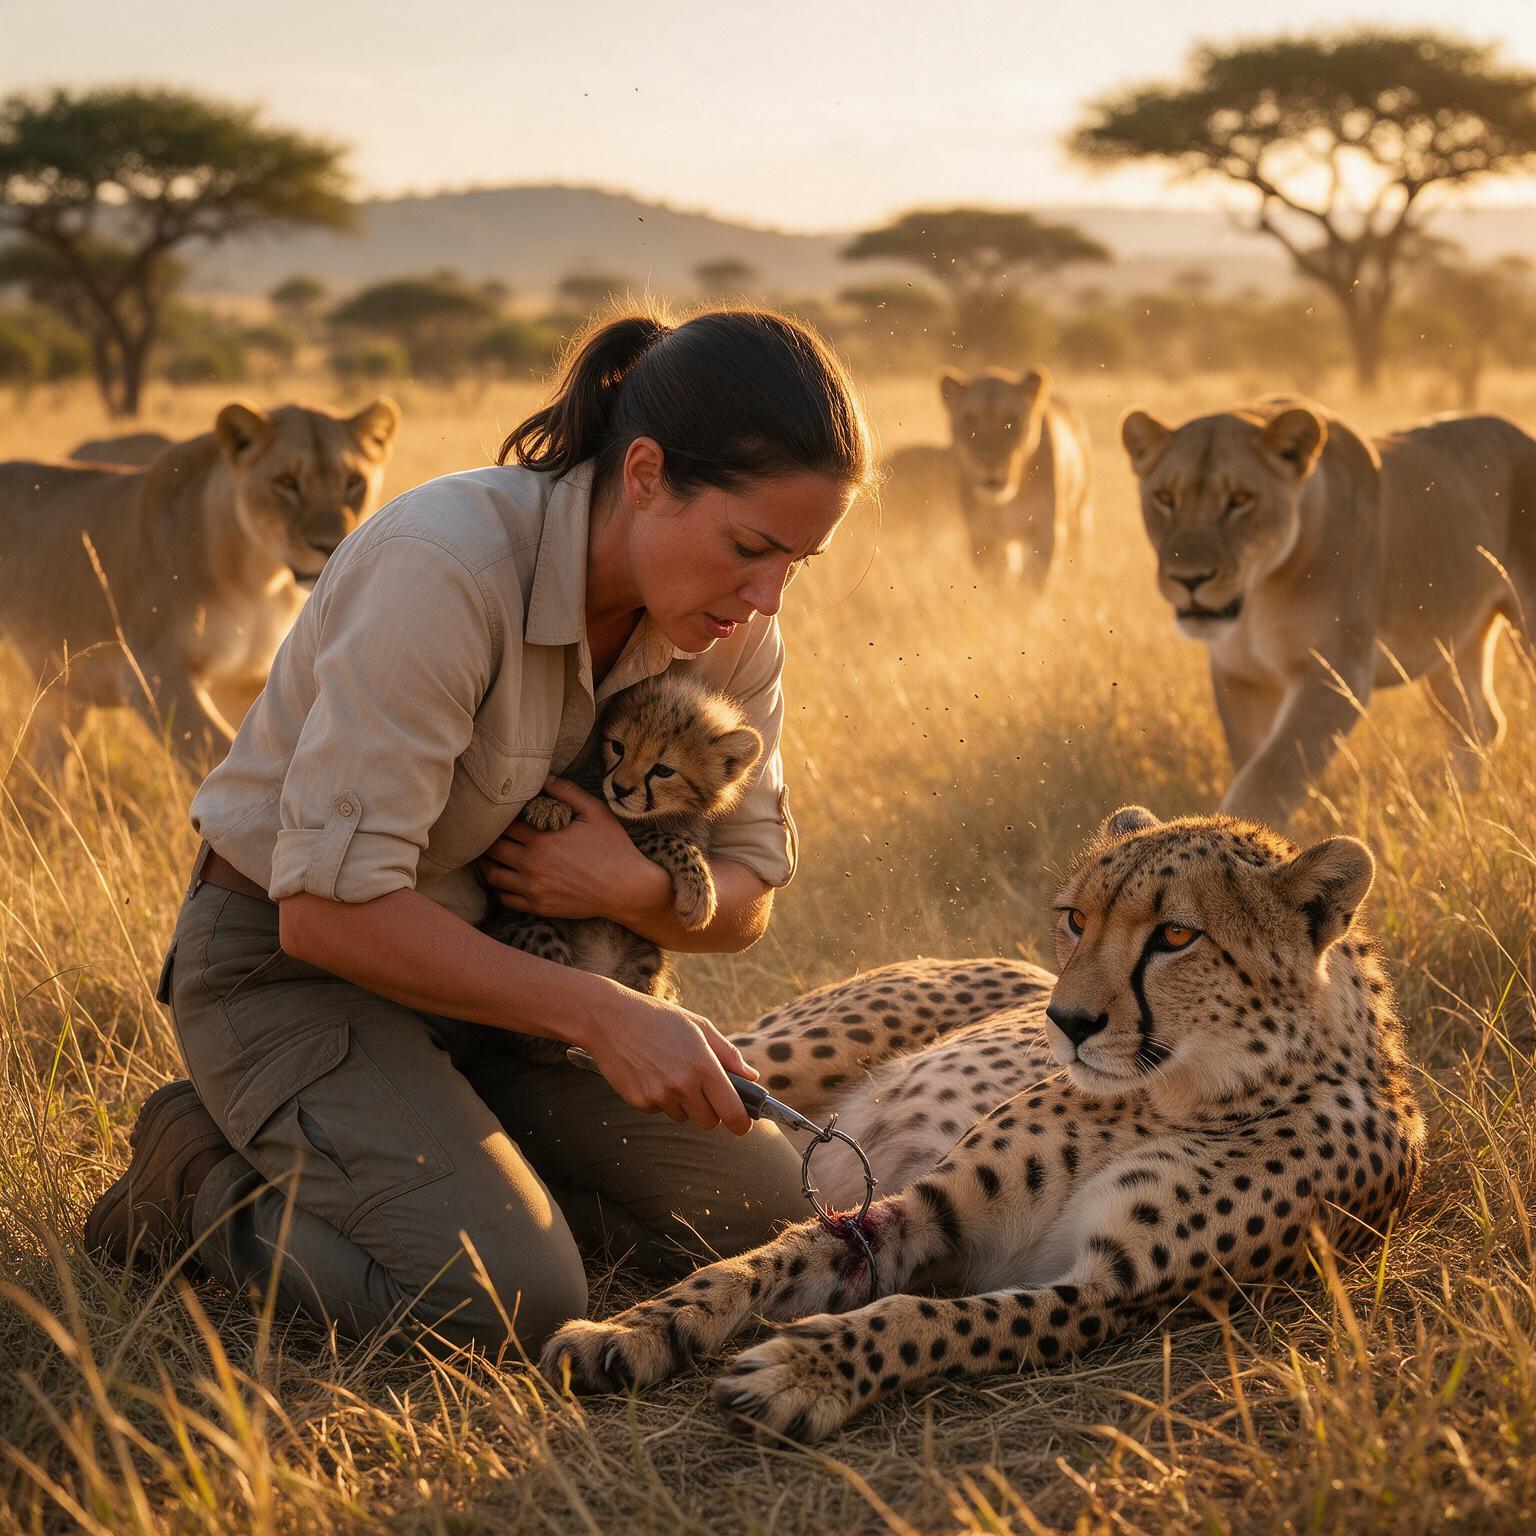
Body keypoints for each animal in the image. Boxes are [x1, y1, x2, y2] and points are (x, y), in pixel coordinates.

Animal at [0, 397, 399, 770]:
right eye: (286, 483)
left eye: (353, 482)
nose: (331, 544)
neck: (259, 579)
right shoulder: (151, 672)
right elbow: (217, 753)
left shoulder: (246, 680)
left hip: (65, 690)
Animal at [885, 365, 1091, 589]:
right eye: (969, 419)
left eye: (1011, 420)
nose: (989, 461)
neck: (1005, 501)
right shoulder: (983, 536)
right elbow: (996, 582)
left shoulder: (1045, 531)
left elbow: (1032, 583)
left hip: (1081, 512)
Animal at [1120, 397, 1536, 826]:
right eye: (1165, 498)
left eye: (1240, 500)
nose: (1189, 579)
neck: (1258, 596)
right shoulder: (1241, 675)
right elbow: (1250, 761)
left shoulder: (1338, 673)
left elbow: (1270, 774)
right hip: (1449, 646)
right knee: (1478, 724)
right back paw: (1464, 808)